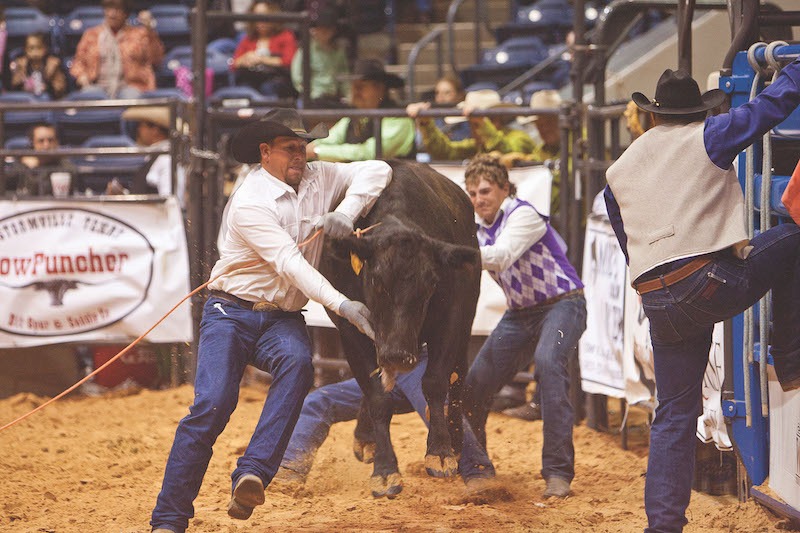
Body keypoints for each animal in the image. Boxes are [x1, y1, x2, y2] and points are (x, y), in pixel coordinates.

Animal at [320, 160, 481, 498]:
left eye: (430, 284)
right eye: (375, 280)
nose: (397, 355)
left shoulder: (452, 319)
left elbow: (436, 382)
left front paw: (441, 452)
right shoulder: (350, 330)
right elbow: (378, 396)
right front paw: (385, 470)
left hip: (466, 322)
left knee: (458, 377)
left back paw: (457, 441)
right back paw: (365, 438)